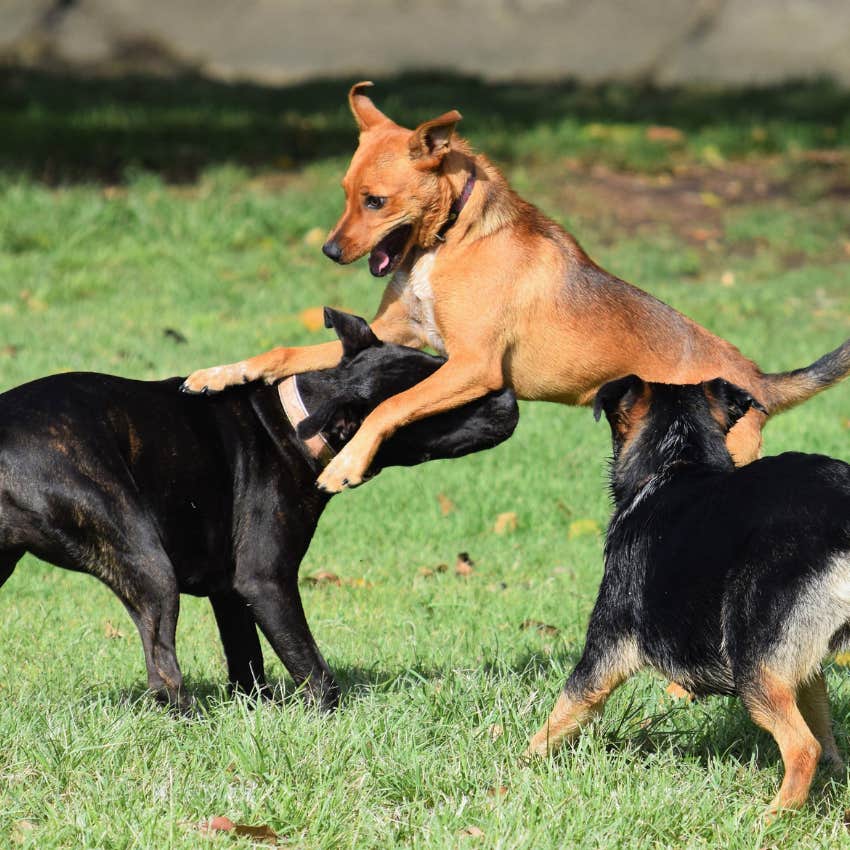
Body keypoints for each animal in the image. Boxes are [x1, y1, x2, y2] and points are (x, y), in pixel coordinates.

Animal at [0, 310, 516, 708]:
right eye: (440, 404)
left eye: (442, 362)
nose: (509, 395)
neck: (295, 419)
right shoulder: (265, 581)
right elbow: (311, 666)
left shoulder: (229, 592)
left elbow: (247, 661)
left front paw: (255, 713)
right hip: (147, 565)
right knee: (163, 669)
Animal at [184, 81, 848, 490]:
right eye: (345, 193)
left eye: (376, 201)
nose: (328, 250)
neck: (449, 241)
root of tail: (756, 380)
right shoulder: (388, 335)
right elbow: (281, 352)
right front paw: (220, 373)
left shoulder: (472, 366)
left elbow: (391, 405)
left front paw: (346, 464)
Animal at [528, 372, 848, 816]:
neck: (677, 462)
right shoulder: (804, 665)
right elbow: (823, 719)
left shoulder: (604, 650)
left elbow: (562, 712)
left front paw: (517, 766)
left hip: (751, 662)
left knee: (802, 748)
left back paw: (770, 818)